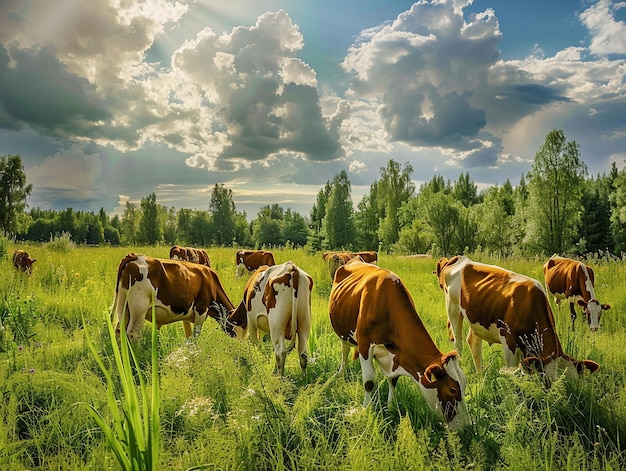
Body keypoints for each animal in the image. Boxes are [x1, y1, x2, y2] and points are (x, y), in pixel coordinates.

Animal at [326, 260, 468, 430]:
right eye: (452, 389)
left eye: (464, 384)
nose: (468, 426)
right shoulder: (365, 345)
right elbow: (369, 382)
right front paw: (366, 409)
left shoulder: (397, 355)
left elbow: (393, 380)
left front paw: (391, 408)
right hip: (342, 332)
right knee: (344, 350)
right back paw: (341, 373)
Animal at [434, 256, 600, 378]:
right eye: (548, 380)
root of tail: (458, 258)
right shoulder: (508, 342)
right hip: (453, 309)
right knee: (458, 342)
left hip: (477, 317)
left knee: (473, 342)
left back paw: (481, 376)